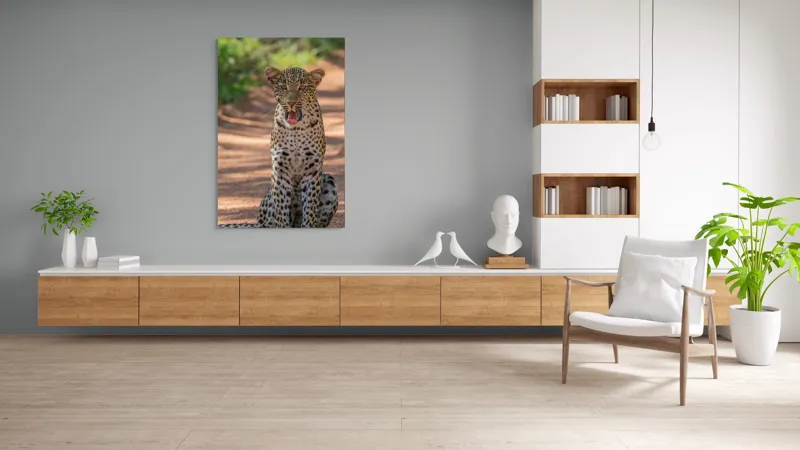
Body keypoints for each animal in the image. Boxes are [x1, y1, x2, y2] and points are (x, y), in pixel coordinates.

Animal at [220, 66, 338, 228]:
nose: (291, 102)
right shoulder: (279, 170)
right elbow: (282, 208)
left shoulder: (312, 170)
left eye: (302, 87)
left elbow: (310, 208)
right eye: (284, 87)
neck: (296, 131)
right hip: (269, 200)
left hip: (329, 182)